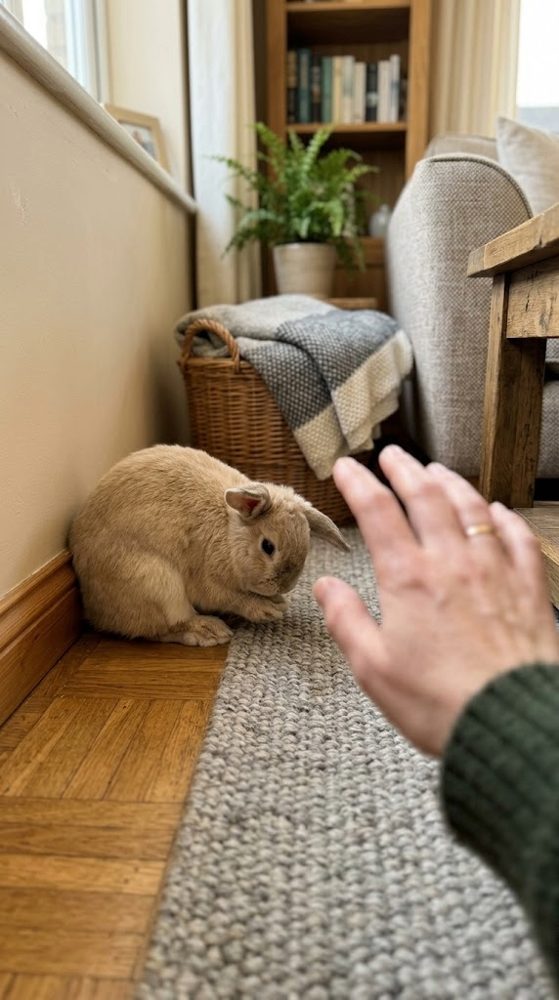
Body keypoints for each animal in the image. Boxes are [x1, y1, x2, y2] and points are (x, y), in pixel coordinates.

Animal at [69, 445, 350, 647]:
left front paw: (278, 601)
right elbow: (230, 597)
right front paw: (269, 609)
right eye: (268, 546)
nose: (284, 586)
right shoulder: (208, 580)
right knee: (163, 628)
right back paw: (208, 631)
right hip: (157, 584)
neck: (229, 533)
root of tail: (93, 611)